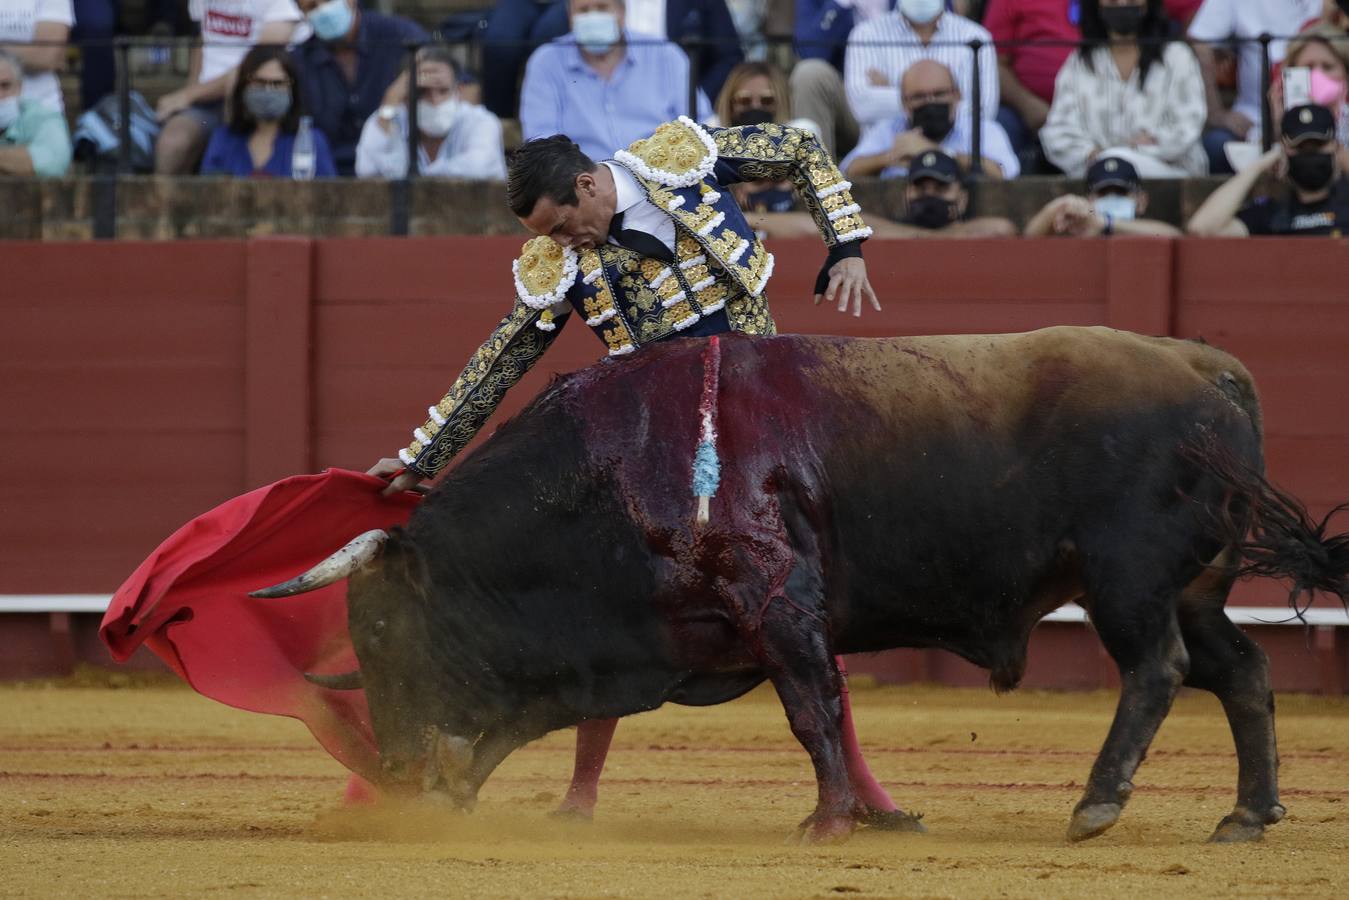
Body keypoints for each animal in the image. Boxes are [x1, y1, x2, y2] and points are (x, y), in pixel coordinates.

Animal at [253, 329, 1349, 847]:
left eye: (380, 632)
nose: (394, 769)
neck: (621, 466)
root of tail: (1208, 370)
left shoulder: (776, 609)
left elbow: (811, 712)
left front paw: (825, 823)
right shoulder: (635, 645)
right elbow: (525, 724)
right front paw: (457, 804)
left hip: (1127, 584)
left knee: (1157, 671)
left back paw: (1096, 804)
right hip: (1195, 587)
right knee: (1241, 671)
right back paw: (1246, 815)